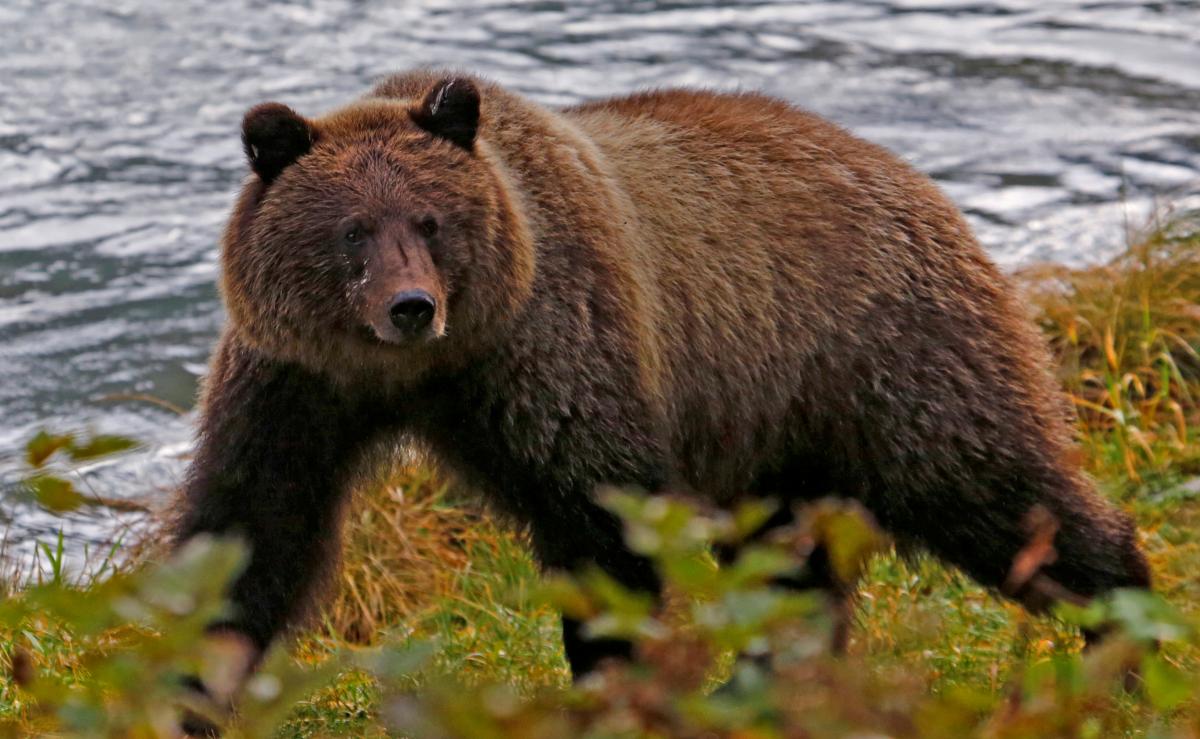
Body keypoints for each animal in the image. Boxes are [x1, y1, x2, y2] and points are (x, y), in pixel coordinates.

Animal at [171, 70, 1152, 710]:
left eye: (431, 220)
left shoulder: (559, 348)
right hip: (783, 423)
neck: (418, 373)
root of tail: (914, 179)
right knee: (793, 561)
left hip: (888, 355)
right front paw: (191, 690)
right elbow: (253, 528)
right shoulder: (297, 380)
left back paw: (1129, 637)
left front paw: (610, 680)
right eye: (351, 231)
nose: (412, 305)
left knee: (994, 491)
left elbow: (604, 529)